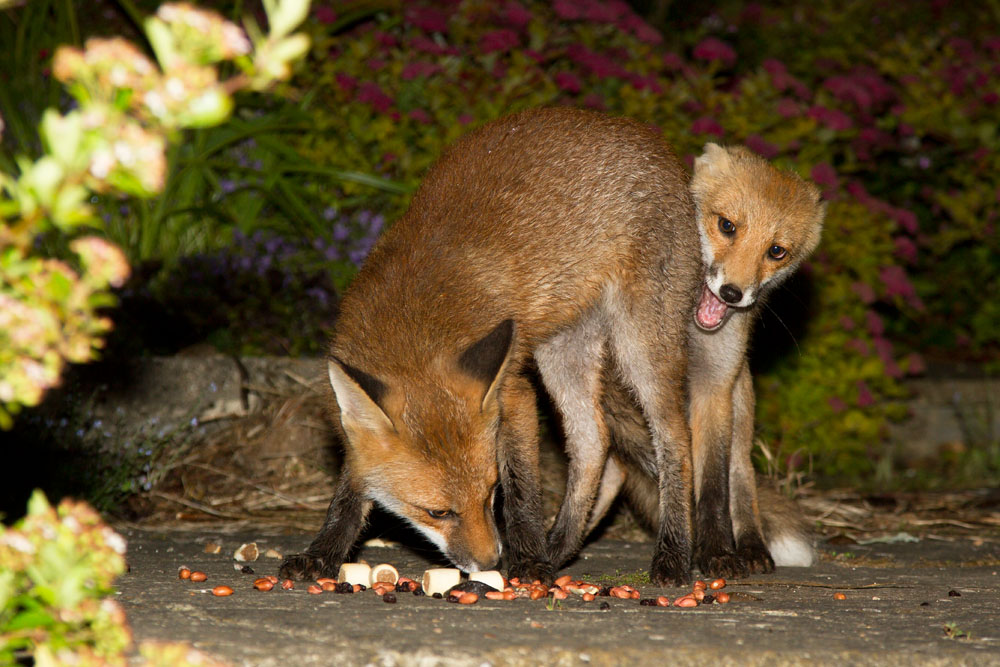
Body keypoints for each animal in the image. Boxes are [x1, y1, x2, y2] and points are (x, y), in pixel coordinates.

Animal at [279, 107, 704, 586]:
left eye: (489, 494)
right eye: (437, 512)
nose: (488, 563)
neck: (414, 330)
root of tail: (651, 140)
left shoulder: (513, 391)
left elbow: (523, 487)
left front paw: (530, 559)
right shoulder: (359, 430)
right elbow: (350, 493)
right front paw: (322, 553)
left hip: (639, 346)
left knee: (674, 438)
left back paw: (670, 553)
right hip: (562, 350)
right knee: (594, 440)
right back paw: (561, 545)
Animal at [572, 143, 824, 577]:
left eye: (776, 251)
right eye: (727, 226)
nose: (732, 292)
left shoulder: (715, 384)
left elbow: (712, 487)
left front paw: (716, 552)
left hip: (740, 406)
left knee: (742, 482)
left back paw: (753, 548)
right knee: (616, 465)